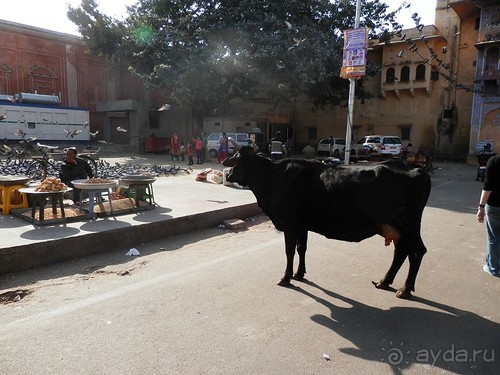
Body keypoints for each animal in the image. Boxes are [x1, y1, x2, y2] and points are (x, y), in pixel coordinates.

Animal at [223, 146, 430, 300]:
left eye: (236, 159)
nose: (228, 172)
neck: (272, 178)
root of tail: (417, 169)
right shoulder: (302, 225)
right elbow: (302, 248)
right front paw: (299, 274)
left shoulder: (290, 224)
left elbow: (290, 251)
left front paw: (286, 277)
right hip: (398, 228)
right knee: (401, 252)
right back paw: (385, 282)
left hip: (408, 226)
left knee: (416, 251)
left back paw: (405, 289)